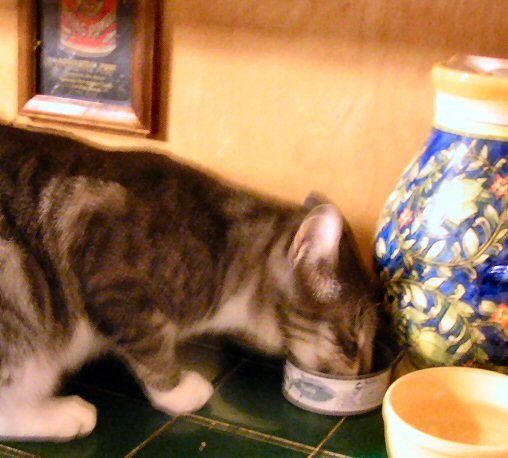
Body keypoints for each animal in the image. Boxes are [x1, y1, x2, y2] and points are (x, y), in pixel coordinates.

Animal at [0, 125, 378, 441]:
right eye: (352, 340)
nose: (364, 371)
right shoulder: (113, 283)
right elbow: (151, 347)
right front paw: (178, 390)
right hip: (16, 278)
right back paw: (60, 415)